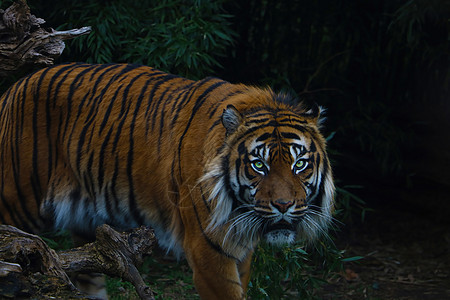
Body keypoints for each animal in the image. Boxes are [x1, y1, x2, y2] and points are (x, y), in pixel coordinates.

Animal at [0, 62, 334, 298]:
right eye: (259, 165)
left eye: (300, 164)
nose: (283, 206)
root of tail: (11, 88)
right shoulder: (208, 250)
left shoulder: (241, 251)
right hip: (18, 200)